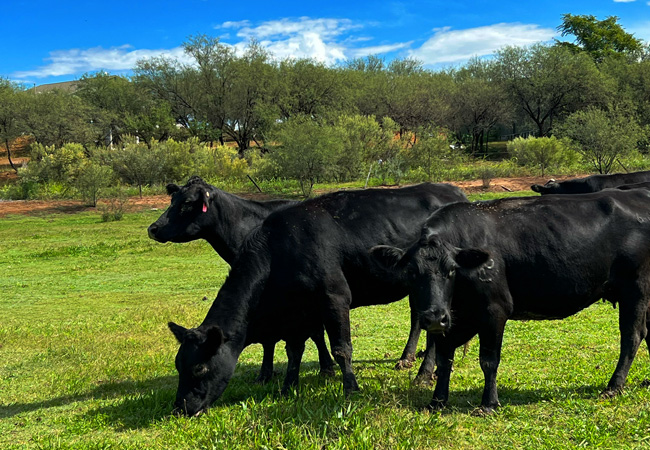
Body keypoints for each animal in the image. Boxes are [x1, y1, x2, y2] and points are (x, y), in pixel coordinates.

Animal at [165, 182, 464, 414]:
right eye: (178, 365)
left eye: (200, 369)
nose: (181, 408)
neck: (281, 249)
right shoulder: (298, 311)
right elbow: (294, 349)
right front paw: (288, 387)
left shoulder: (335, 296)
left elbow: (341, 348)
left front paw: (350, 388)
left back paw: (424, 373)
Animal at [372, 190, 648, 414]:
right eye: (411, 273)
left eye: (451, 270)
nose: (433, 317)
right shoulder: (452, 320)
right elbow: (444, 358)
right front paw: (437, 401)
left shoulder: (494, 311)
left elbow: (488, 360)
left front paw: (488, 404)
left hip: (636, 289)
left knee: (632, 336)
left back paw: (614, 386)